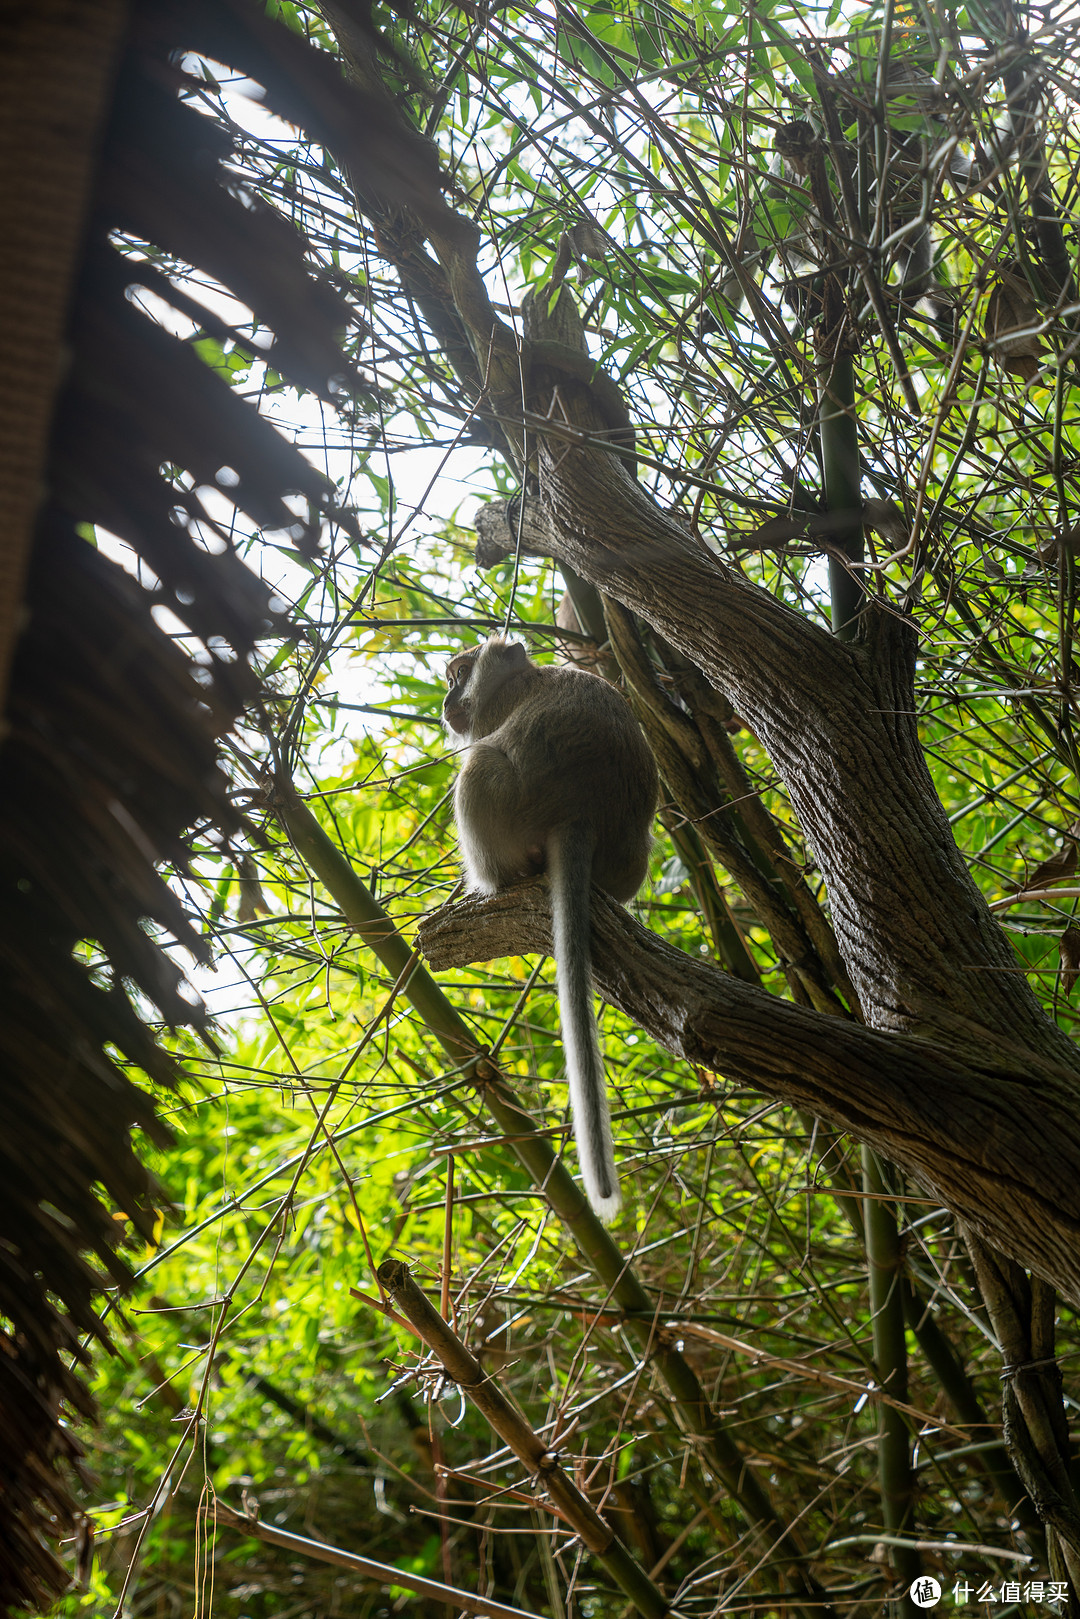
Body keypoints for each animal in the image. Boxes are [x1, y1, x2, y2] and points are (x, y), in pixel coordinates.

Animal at [440, 637, 660, 1217]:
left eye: (459, 674)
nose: (446, 698)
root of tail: (579, 813)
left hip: (504, 809)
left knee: (477, 767)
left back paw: (490, 882)